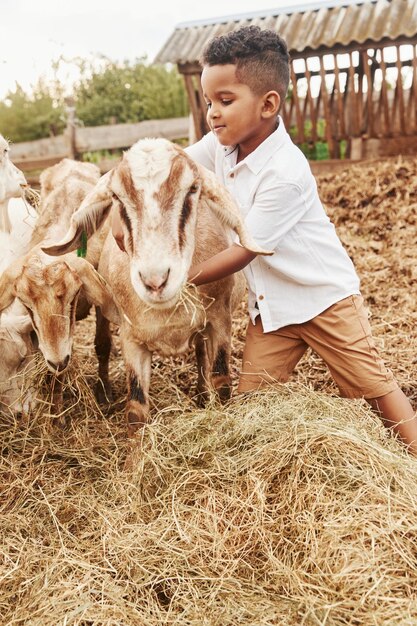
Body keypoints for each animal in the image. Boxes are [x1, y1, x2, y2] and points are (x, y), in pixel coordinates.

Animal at [42, 138, 270, 434]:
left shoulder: (220, 320)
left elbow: (221, 384)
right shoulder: (131, 337)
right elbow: (136, 410)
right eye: (117, 198)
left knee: (200, 354)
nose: (155, 280)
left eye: (193, 189)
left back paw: (200, 393)